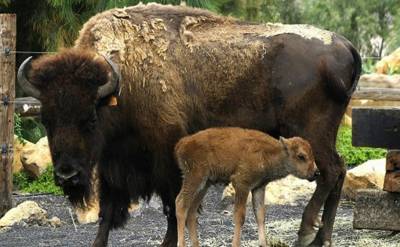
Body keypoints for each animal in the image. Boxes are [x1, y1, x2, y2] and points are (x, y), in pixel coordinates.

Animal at [175, 127, 318, 247]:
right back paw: (181, 244)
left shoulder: (259, 187)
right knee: (181, 203)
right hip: (195, 178)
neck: (270, 152)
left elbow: (260, 215)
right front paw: (236, 244)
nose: (316, 173)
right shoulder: (242, 184)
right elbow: (240, 216)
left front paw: (263, 244)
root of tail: (182, 143)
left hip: (204, 185)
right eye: (301, 156)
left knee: (191, 212)